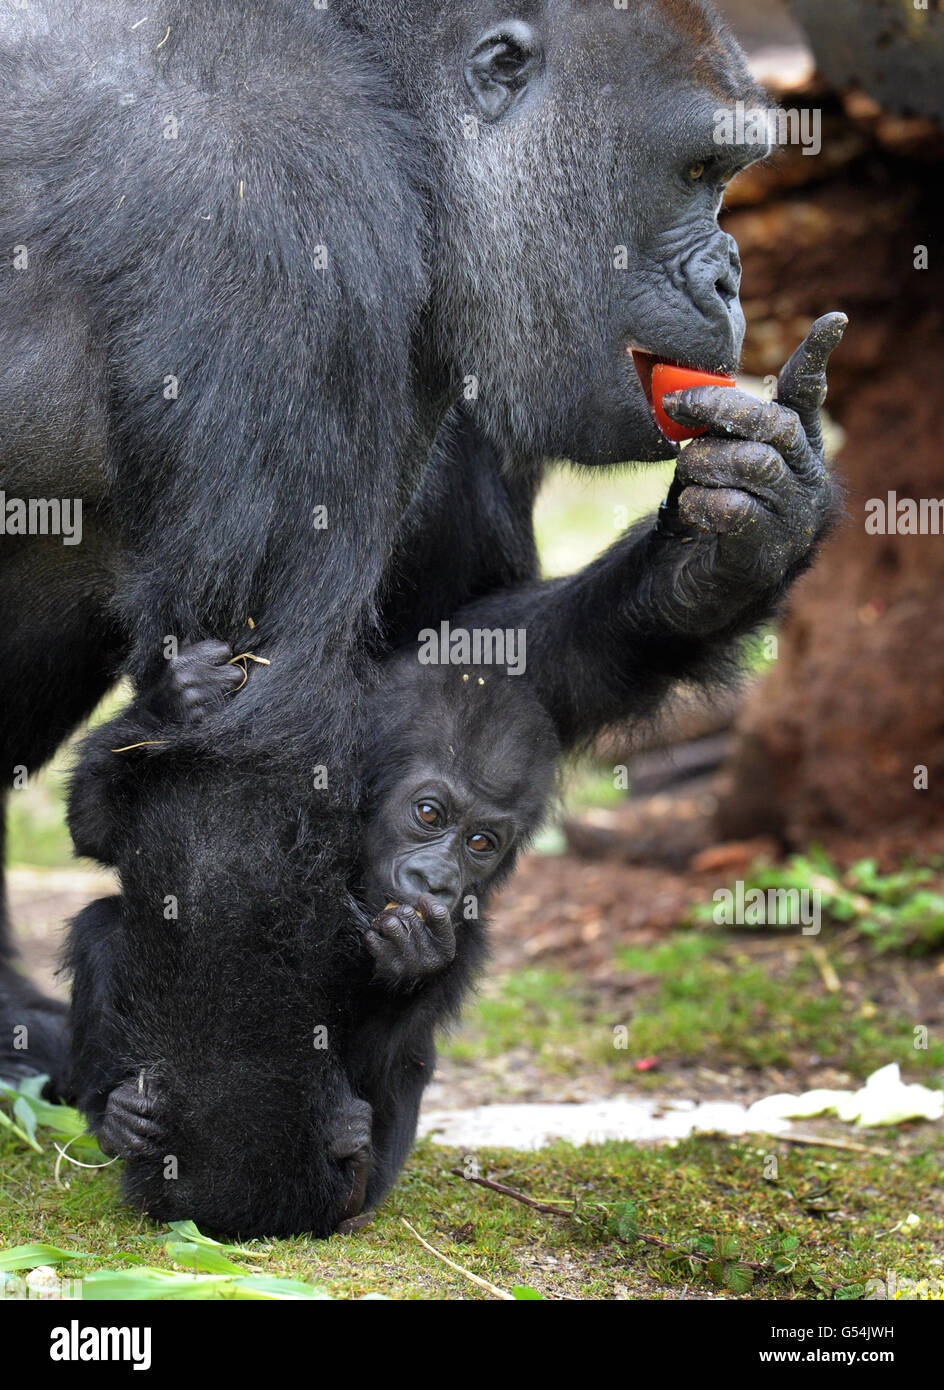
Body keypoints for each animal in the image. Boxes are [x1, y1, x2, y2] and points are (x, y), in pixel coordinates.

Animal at [68, 636, 561, 1223]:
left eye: (481, 843)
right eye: (428, 813)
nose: (437, 881)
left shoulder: (468, 931)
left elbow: (388, 1051)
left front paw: (411, 960)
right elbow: (99, 831)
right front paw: (175, 700)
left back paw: (353, 1182)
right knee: (102, 924)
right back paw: (116, 1118)